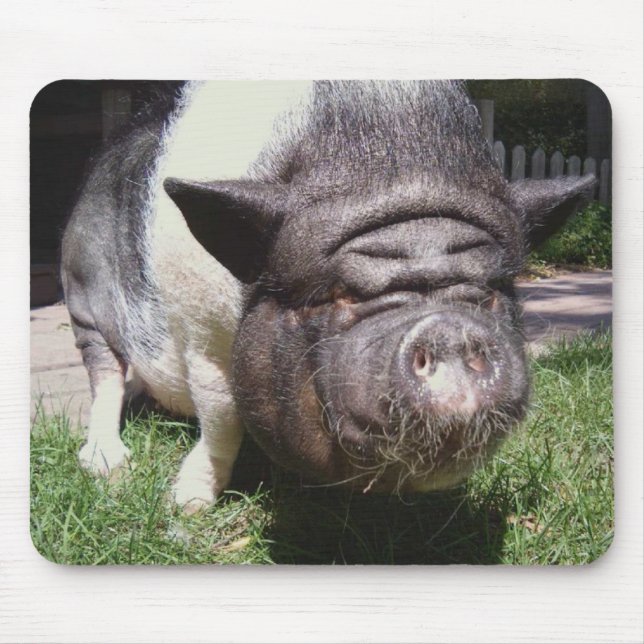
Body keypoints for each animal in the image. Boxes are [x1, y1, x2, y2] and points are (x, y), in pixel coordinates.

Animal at [63, 81, 595, 506]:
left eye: (492, 290)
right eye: (339, 293)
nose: (448, 328)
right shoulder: (200, 328)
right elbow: (223, 414)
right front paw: (187, 506)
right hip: (80, 293)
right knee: (105, 373)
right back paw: (107, 463)